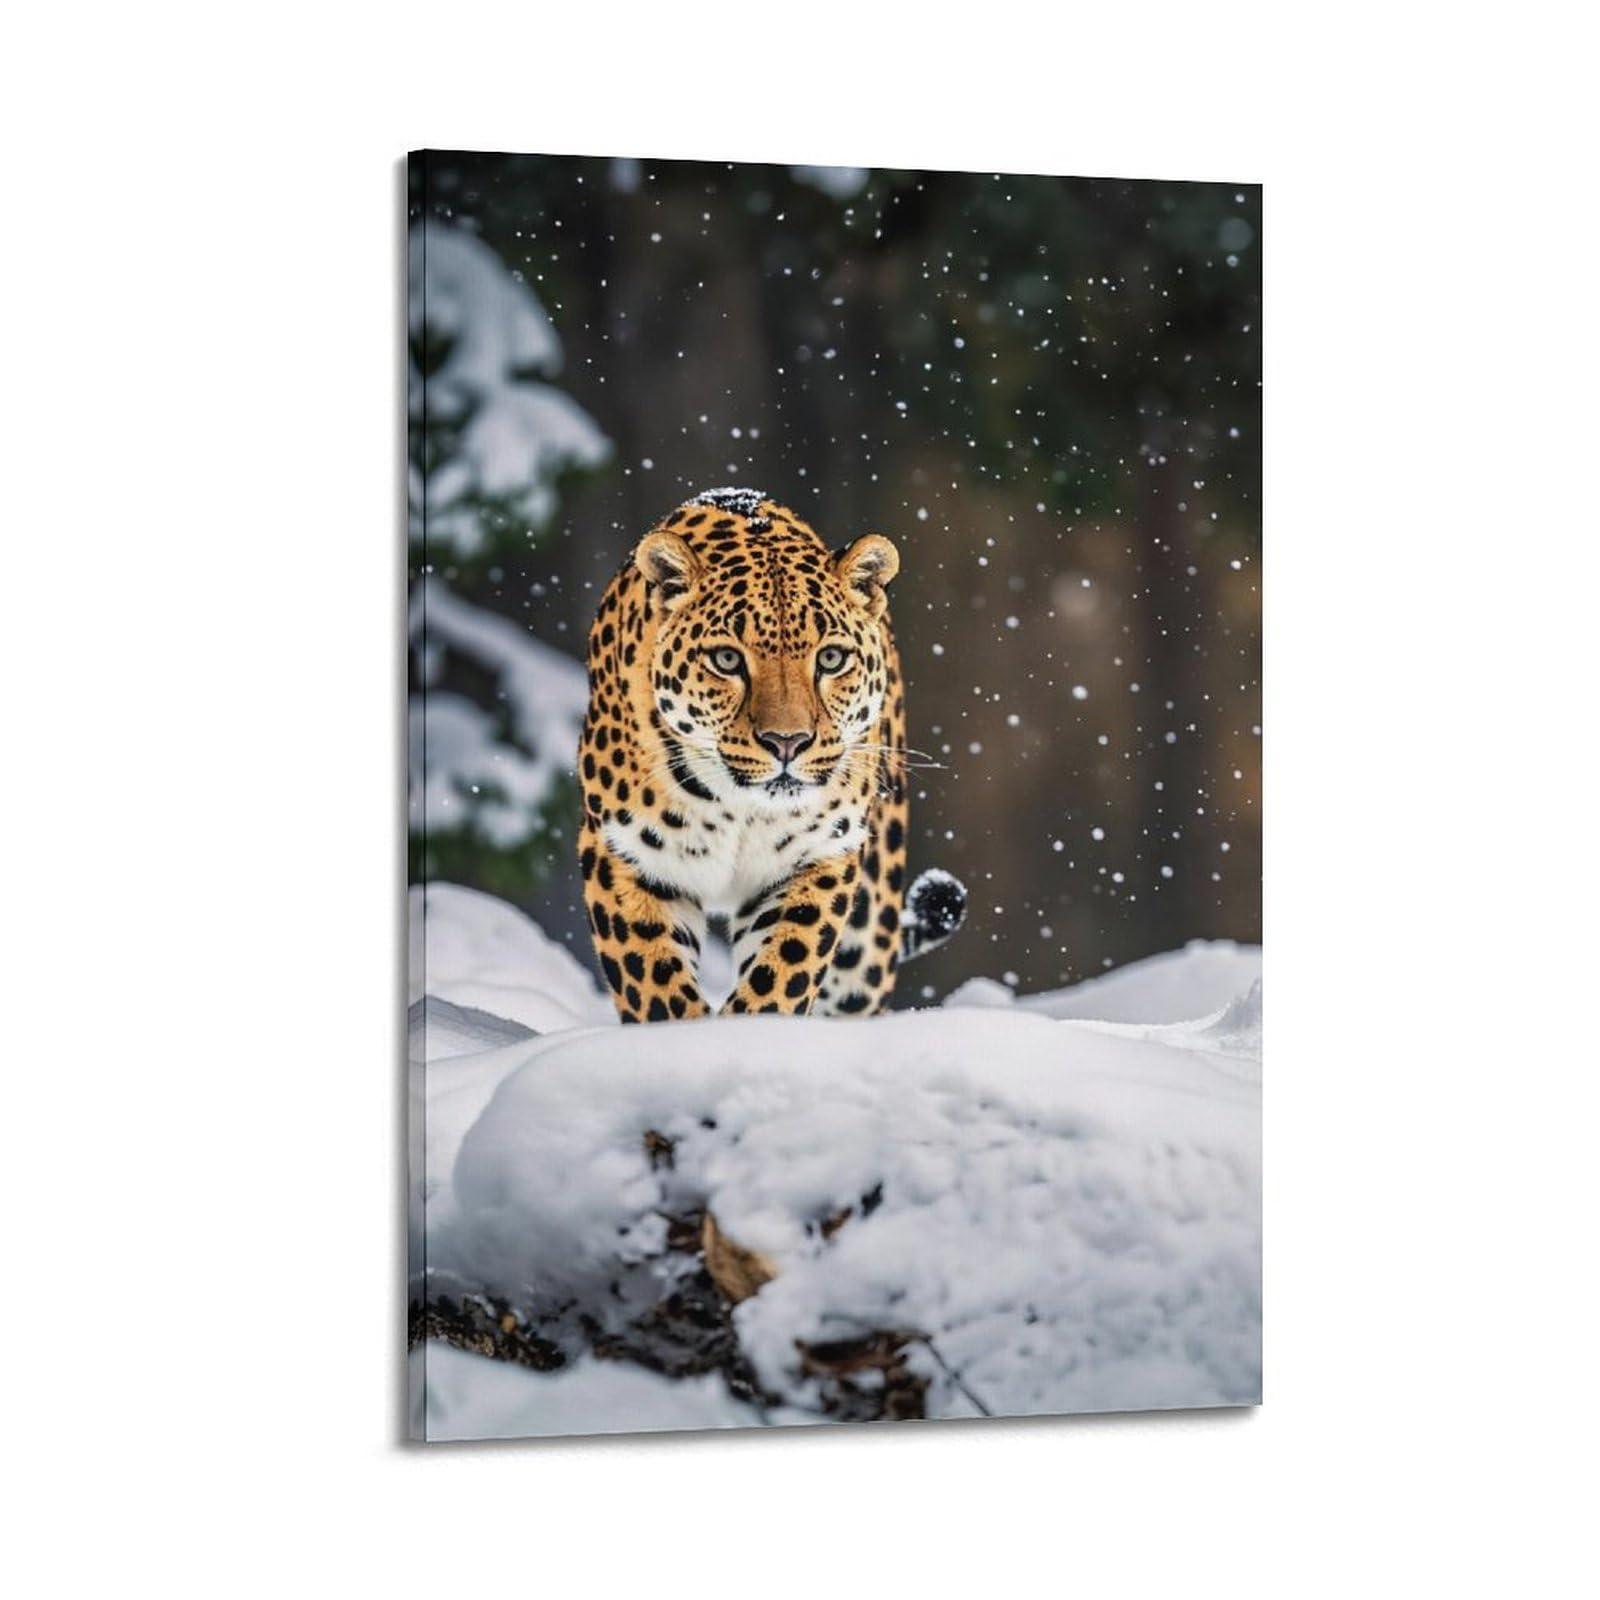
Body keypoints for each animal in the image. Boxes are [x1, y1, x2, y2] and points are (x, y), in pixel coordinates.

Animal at [577, 487, 966, 1023]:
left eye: (831, 659)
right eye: (726, 660)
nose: (788, 742)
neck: (736, 806)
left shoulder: (820, 855)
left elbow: (783, 973)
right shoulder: (626, 853)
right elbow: (655, 983)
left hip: (866, 945)